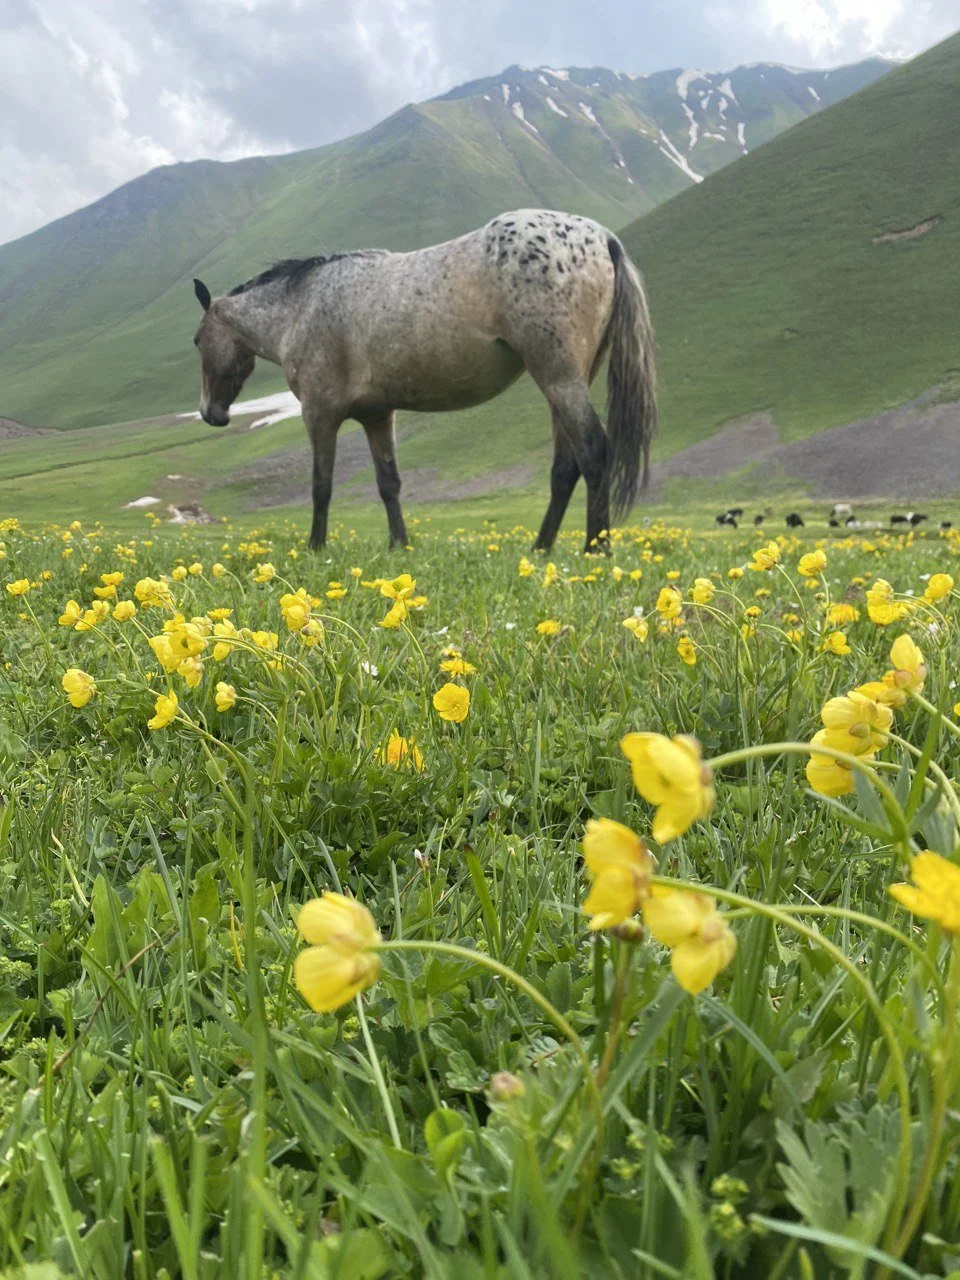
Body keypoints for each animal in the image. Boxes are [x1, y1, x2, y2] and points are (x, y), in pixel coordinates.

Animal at [191, 209, 658, 552]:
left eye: (197, 341)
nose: (210, 414)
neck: (299, 309)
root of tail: (602, 237)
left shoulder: (319, 413)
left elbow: (321, 486)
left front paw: (315, 546)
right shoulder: (377, 416)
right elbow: (388, 484)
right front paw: (399, 545)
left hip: (559, 378)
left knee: (594, 452)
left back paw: (596, 549)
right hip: (567, 383)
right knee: (565, 467)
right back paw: (541, 549)